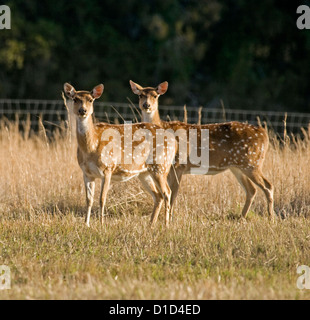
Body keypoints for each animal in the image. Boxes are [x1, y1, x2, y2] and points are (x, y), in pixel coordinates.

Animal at [63, 82, 177, 228]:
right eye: (75, 99)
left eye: (90, 99)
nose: (82, 110)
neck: (91, 147)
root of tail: (174, 140)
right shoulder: (86, 173)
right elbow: (88, 200)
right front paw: (86, 224)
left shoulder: (108, 168)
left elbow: (102, 198)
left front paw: (101, 224)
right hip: (144, 172)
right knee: (158, 195)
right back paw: (150, 224)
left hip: (161, 165)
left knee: (167, 192)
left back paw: (166, 224)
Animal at [130, 80, 274, 220]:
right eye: (140, 95)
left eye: (155, 95)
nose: (146, 105)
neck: (163, 126)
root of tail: (264, 134)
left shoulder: (178, 165)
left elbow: (173, 195)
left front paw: (170, 219)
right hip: (237, 167)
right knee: (251, 189)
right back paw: (242, 218)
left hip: (252, 162)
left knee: (268, 186)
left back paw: (271, 218)